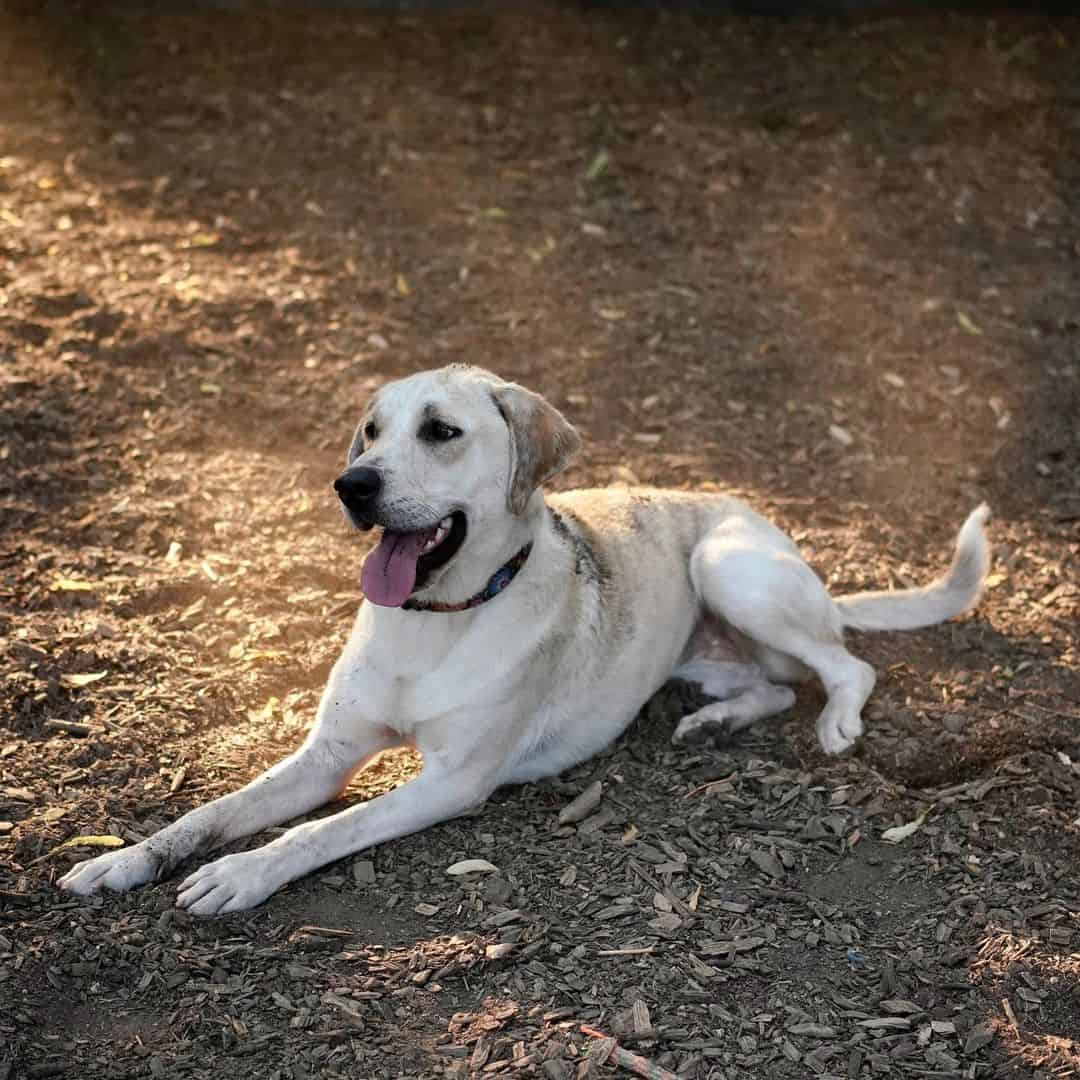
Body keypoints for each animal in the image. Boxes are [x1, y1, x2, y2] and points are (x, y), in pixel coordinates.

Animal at [56, 365, 989, 911]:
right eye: (371, 430)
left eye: (440, 431)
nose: (351, 485)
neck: (432, 622)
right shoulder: (326, 756)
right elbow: (210, 812)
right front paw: (126, 860)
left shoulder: (451, 781)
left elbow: (318, 833)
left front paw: (240, 874)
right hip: (709, 644)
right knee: (772, 684)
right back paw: (713, 721)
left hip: (731, 566)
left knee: (845, 666)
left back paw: (837, 722)